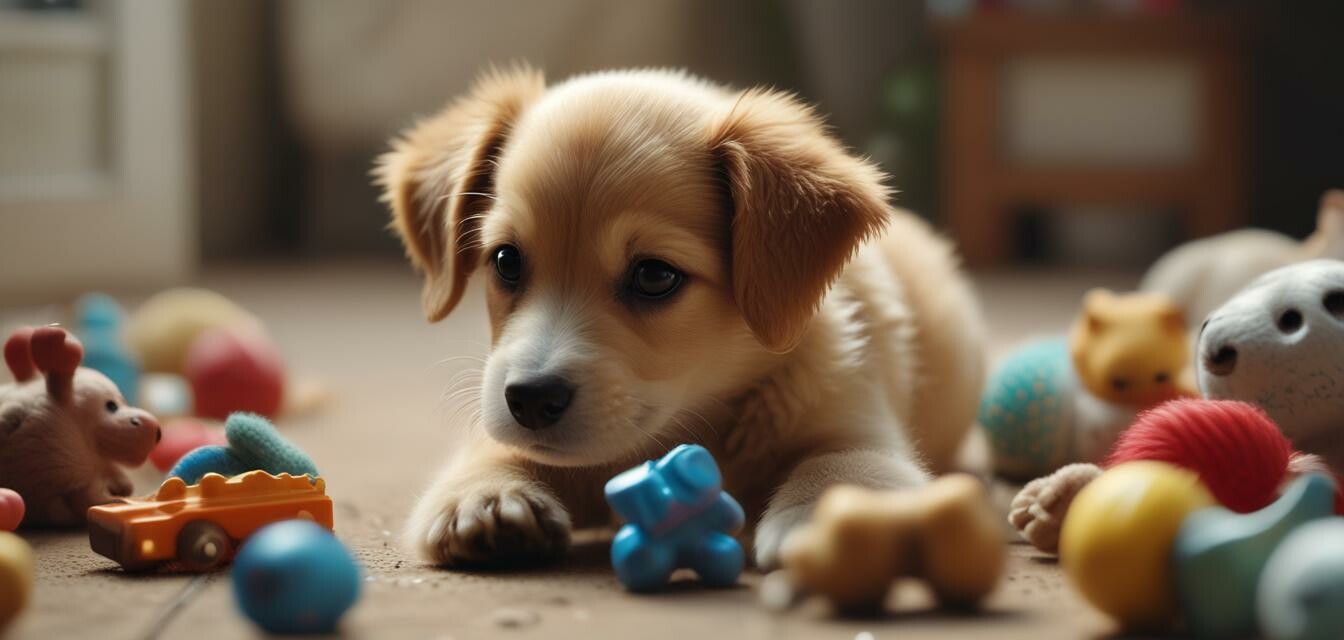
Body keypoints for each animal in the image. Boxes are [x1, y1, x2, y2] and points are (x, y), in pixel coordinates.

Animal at [379, 67, 989, 567]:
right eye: (506, 261)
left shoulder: (857, 420)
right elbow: (491, 450)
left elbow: (844, 464)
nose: (530, 399)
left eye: (654, 276)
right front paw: (485, 495)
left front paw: (834, 516)